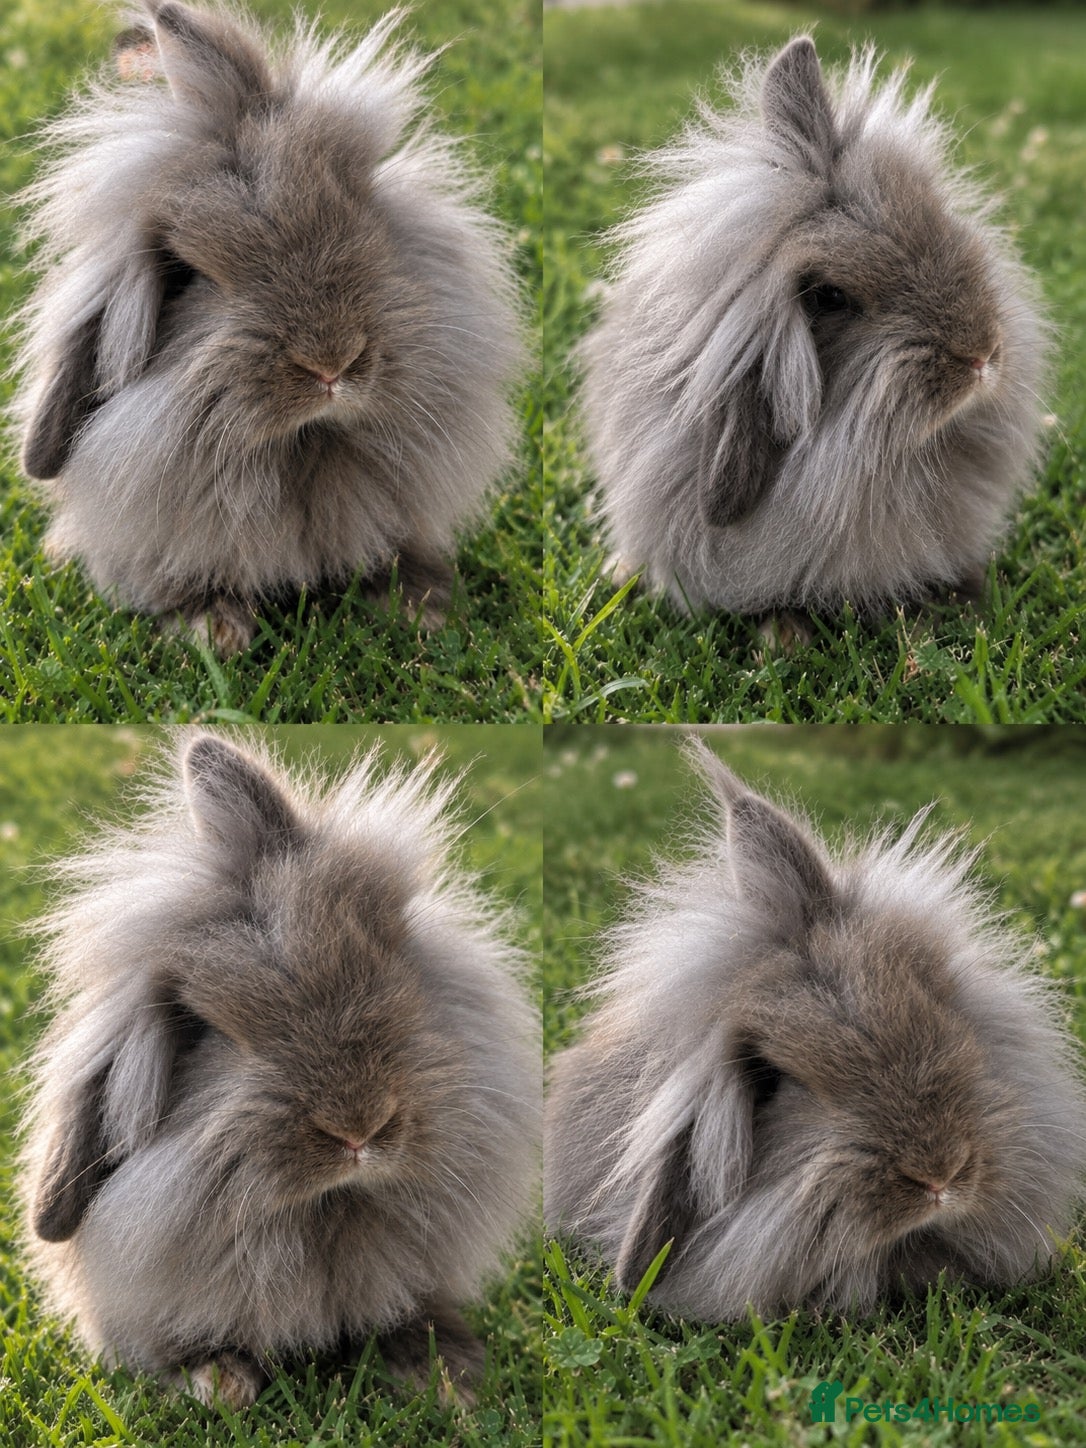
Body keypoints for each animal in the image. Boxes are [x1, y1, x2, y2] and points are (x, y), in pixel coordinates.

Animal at [10, 1, 525, 655]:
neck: (302, 448)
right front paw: (214, 633)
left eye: (364, 214)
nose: (331, 363)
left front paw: (421, 609)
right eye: (186, 276)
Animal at [20, 731, 540, 1408]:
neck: (324, 1213)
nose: (359, 1130)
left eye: (397, 958)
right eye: (202, 1029)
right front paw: (220, 1383)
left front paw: (447, 1378)